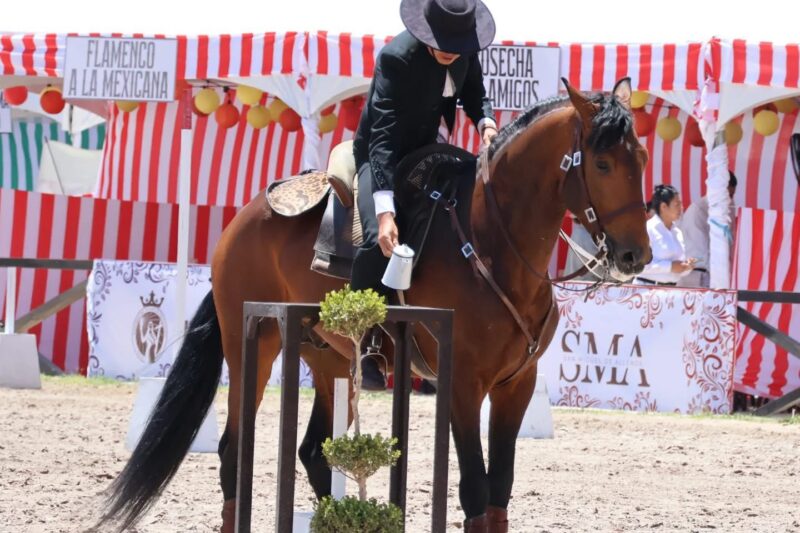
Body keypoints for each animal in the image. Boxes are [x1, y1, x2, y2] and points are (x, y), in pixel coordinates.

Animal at [95, 77, 651, 533]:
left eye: (641, 159)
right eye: (602, 163)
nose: (634, 255)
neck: (492, 244)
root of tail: (242, 220)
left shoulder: (517, 385)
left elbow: (499, 492)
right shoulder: (462, 384)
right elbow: (474, 488)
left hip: (326, 357)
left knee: (313, 451)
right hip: (252, 344)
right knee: (235, 451)